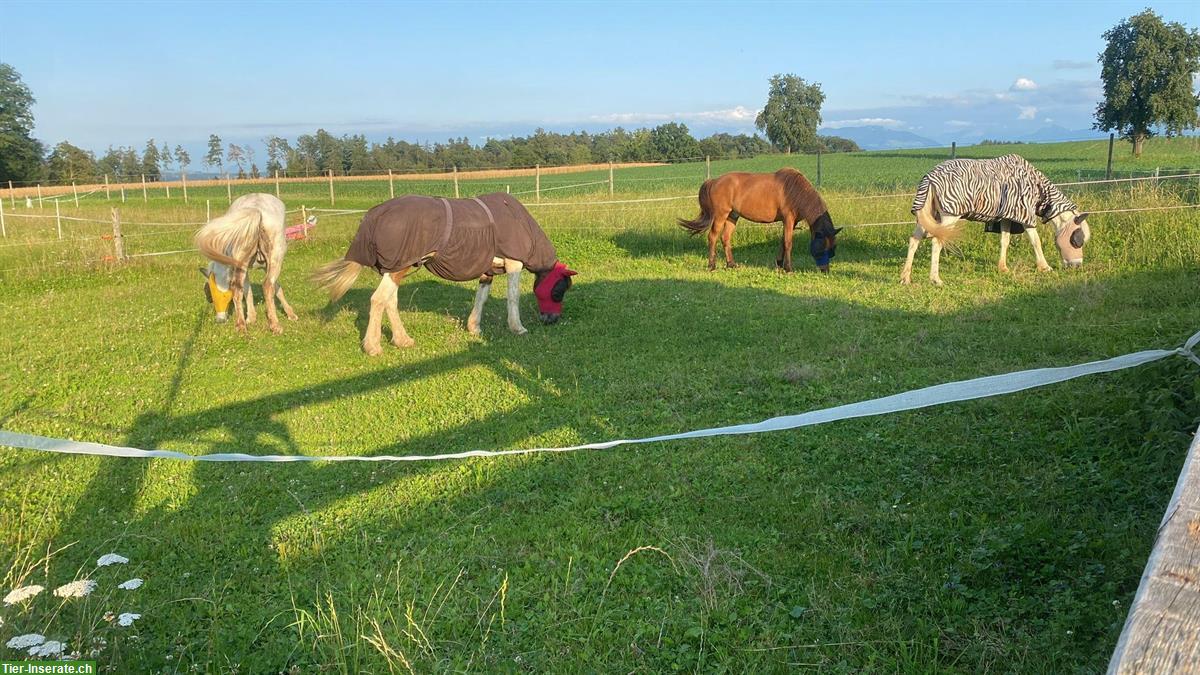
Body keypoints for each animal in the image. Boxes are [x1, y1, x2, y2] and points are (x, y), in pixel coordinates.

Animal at [192, 192, 297, 333]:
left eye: (223, 296)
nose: (220, 320)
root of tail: (256, 209)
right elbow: (276, 287)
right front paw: (291, 314)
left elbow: (248, 290)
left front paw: (251, 318)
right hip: (275, 258)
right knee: (267, 285)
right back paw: (275, 325)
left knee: (237, 288)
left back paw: (241, 325)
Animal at [314, 192, 576, 355]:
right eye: (559, 291)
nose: (551, 320)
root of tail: (373, 216)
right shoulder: (514, 264)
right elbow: (513, 297)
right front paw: (517, 327)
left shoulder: (487, 270)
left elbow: (481, 297)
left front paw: (474, 327)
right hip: (398, 267)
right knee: (379, 300)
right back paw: (373, 347)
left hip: (398, 268)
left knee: (390, 301)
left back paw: (402, 340)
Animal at [676, 166, 844, 270]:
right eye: (822, 248)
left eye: (833, 249)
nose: (825, 270)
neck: (795, 192)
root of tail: (714, 181)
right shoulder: (788, 219)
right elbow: (788, 243)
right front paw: (788, 268)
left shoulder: (790, 222)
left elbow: (783, 242)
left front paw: (779, 263)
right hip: (720, 215)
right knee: (713, 237)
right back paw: (712, 266)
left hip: (732, 216)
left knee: (725, 238)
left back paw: (731, 264)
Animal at [902, 154, 1089, 283]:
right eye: (1077, 239)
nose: (1077, 266)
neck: (1035, 185)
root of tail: (929, 177)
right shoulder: (1025, 217)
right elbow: (1036, 241)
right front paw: (1045, 267)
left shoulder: (1006, 218)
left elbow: (1004, 240)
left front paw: (1003, 268)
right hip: (949, 217)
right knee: (936, 242)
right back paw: (936, 280)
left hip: (928, 217)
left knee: (914, 240)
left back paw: (905, 278)